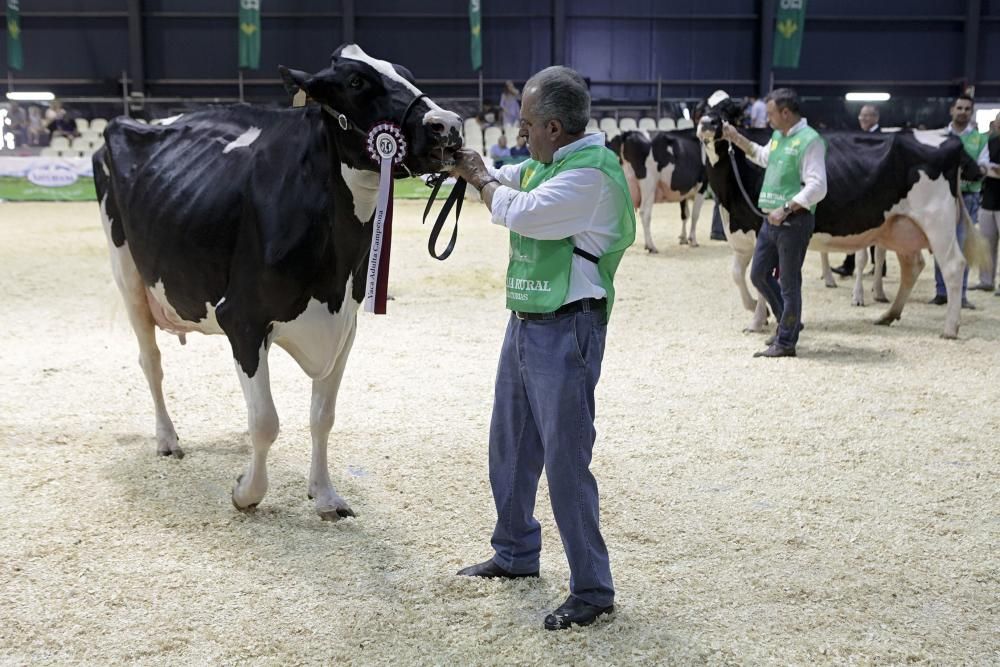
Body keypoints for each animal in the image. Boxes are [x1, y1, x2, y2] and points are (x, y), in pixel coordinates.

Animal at [95, 44, 462, 520]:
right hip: (127, 272)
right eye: (357, 81)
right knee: (151, 360)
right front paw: (246, 493)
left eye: (406, 73)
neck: (331, 273)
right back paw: (167, 439)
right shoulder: (243, 320)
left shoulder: (345, 324)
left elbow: (322, 416)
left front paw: (325, 495)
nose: (447, 125)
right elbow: (266, 422)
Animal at [696, 92, 984, 340]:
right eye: (699, 109)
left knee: (953, 266)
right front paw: (758, 310)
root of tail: (948, 138)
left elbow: (759, 279)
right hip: (902, 227)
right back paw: (888, 315)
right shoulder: (741, 234)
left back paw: (950, 328)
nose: (709, 123)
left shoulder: (761, 231)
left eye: (729, 112)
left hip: (938, 221)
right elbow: (737, 274)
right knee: (912, 266)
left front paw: (757, 319)